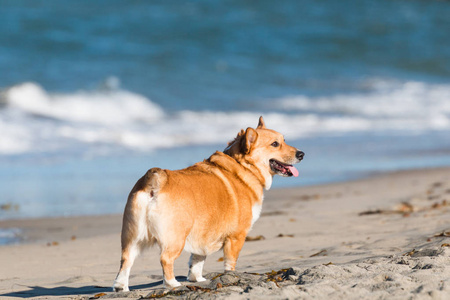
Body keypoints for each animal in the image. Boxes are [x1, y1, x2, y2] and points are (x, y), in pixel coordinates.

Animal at [112, 116, 304, 290]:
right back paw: (173, 284)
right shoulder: (236, 237)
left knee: (125, 260)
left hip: (132, 238)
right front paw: (230, 276)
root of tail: (156, 181)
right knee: (165, 259)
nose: (301, 154)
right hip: (175, 239)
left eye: (284, 140)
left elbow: (196, 262)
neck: (243, 166)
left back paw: (121, 287)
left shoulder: (202, 236)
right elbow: (229, 263)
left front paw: (198, 280)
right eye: (275, 144)